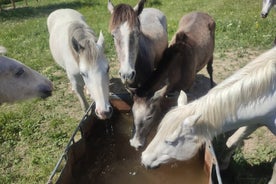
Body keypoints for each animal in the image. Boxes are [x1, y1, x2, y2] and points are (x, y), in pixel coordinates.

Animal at [130, 11, 216, 150]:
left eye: (149, 117)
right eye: (132, 112)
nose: (135, 144)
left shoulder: (186, 87)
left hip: (212, 53)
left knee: (210, 69)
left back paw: (211, 85)